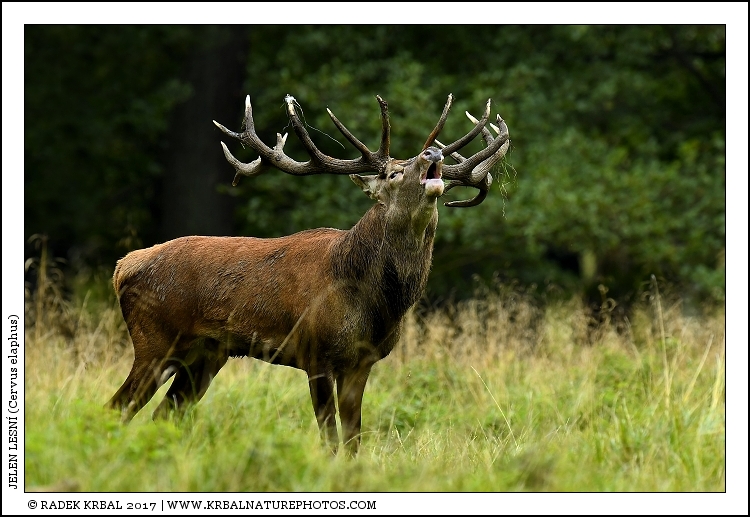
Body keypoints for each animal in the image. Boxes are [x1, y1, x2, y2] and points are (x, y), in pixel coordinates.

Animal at [106, 92, 510, 454]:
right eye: (394, 173)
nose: (433, 153)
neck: (374, 302)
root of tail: (123, 266)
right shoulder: (315, 352)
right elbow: (329, 437)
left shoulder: (362, 362)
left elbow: (353, 439)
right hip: (155, 339)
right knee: (118, 406)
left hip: (206, 353)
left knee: (163, 413)